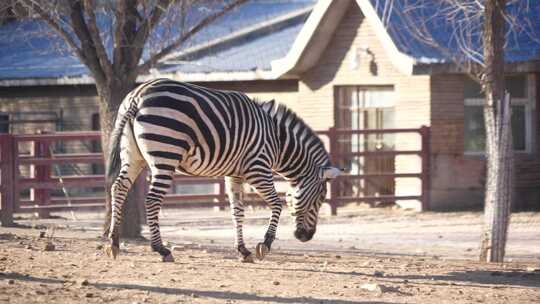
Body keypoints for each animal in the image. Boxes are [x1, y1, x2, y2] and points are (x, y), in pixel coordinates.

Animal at [106, 78, 342, 262]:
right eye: (319, 200)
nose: (306, 237)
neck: (277, 141)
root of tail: (138, 94)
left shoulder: (234, 174)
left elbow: (237, 211)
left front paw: (243, 251)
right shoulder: (258, 168)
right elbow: (277, 203)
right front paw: (264, 244)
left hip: (133, 155)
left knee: (119, 188)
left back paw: (114, 242)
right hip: (165, 154)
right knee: (152, 199)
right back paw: (161, 250)